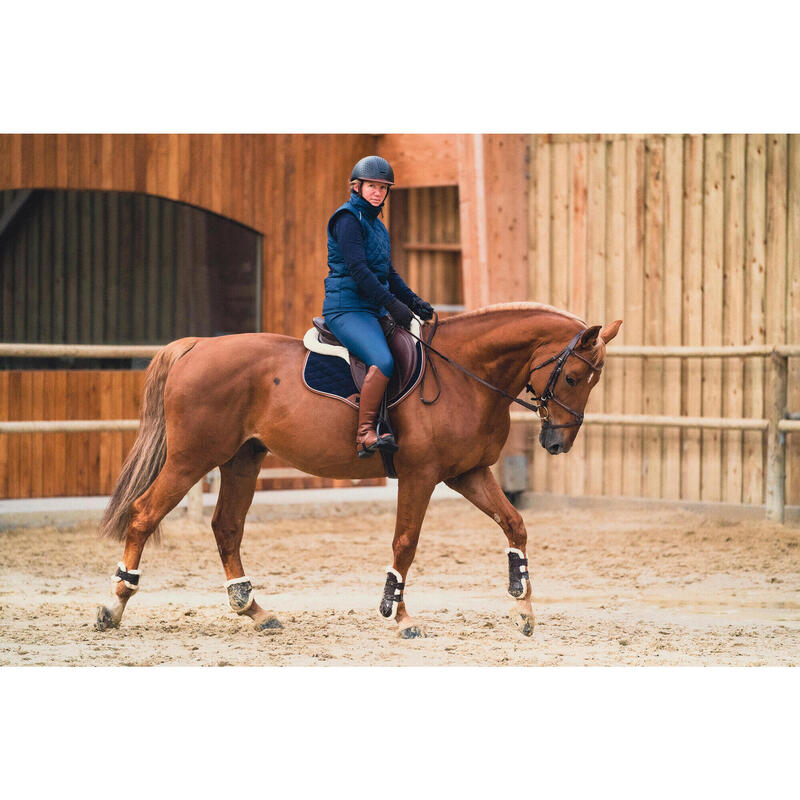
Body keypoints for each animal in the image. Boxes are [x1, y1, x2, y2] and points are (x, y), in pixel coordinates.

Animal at [94, 304, 620, 640]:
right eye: (574, 377)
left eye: (593, 381)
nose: (557, 443)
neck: (463, 375)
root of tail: (196, 346)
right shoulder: (421, 476)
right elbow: (405, 544)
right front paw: (400, 616)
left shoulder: (468, 473)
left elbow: (515, 524)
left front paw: (523, 606)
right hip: (192, 459)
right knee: (144, 514)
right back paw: (114, 605)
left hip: (243, 458)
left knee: (226, 527)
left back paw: (255, 611)